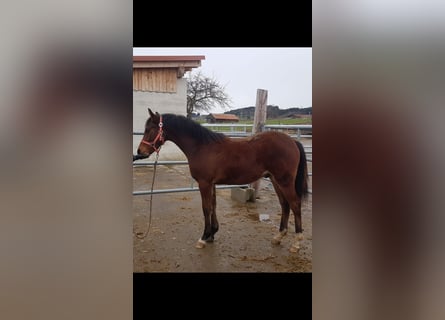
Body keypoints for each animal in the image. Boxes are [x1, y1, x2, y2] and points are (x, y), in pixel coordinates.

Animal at [135, 109, 308, 252]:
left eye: (149, 129)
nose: (140, 152)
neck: (202, 146)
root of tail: (292, 141)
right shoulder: (211, 184)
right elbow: (213, 206)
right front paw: (212, 234)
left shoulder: (204, 183)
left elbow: (206, 208)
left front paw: (203, 238)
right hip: (275, 180)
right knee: (285, 205)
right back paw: (278, 237)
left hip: (284, 181)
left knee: (295, 204)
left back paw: (297, 242)